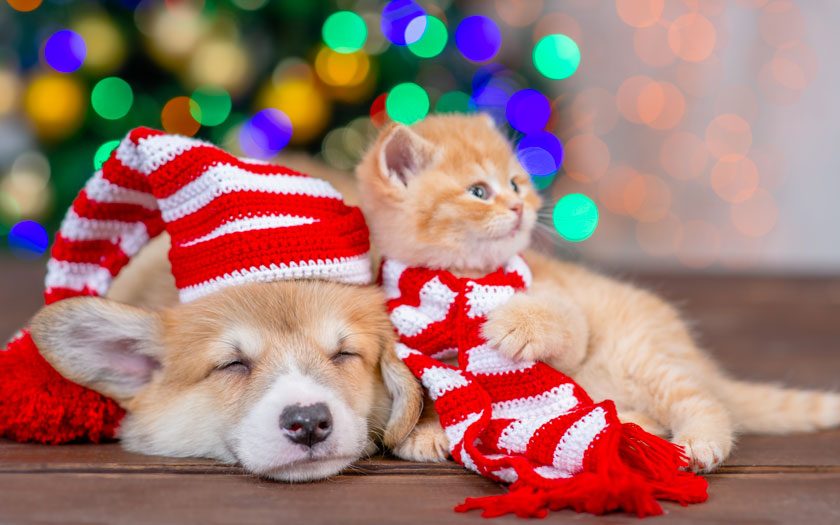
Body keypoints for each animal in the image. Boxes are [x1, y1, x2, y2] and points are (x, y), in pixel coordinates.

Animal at [354, 113, 840, 470]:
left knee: (705, 402)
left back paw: (700, 442)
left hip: (645, 357)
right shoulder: (410, 343)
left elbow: (563, 324)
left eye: (514, 183)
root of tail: (701, 362)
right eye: (478, 191)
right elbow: (432, 394)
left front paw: (515, 324)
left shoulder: (568, 314)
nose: (519, 207)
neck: (462, 277)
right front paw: (425, 432)